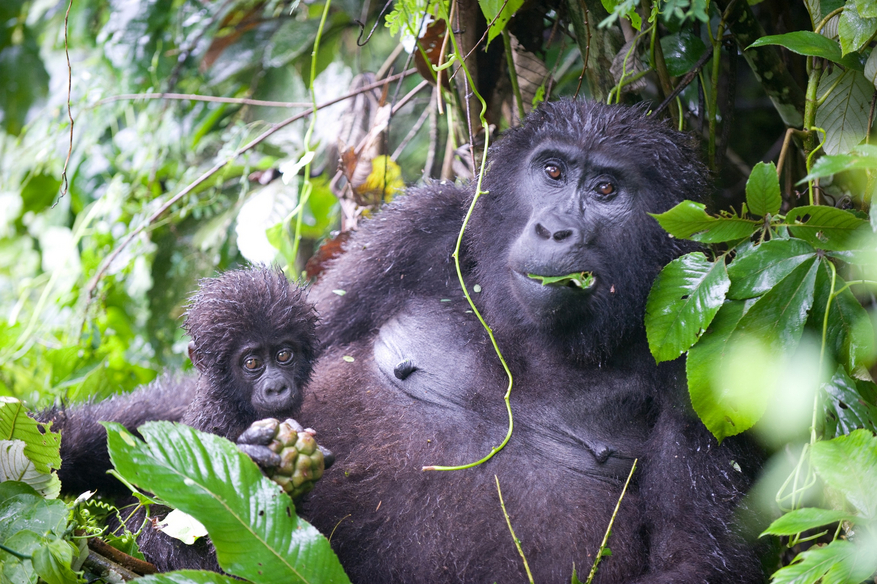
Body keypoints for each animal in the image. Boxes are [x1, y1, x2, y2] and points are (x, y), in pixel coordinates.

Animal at [298, 99, 764, 580]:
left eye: (606, 189)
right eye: (553, 172)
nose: (555, 229)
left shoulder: (708, 353)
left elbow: (695, 555)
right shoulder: (419, 224)